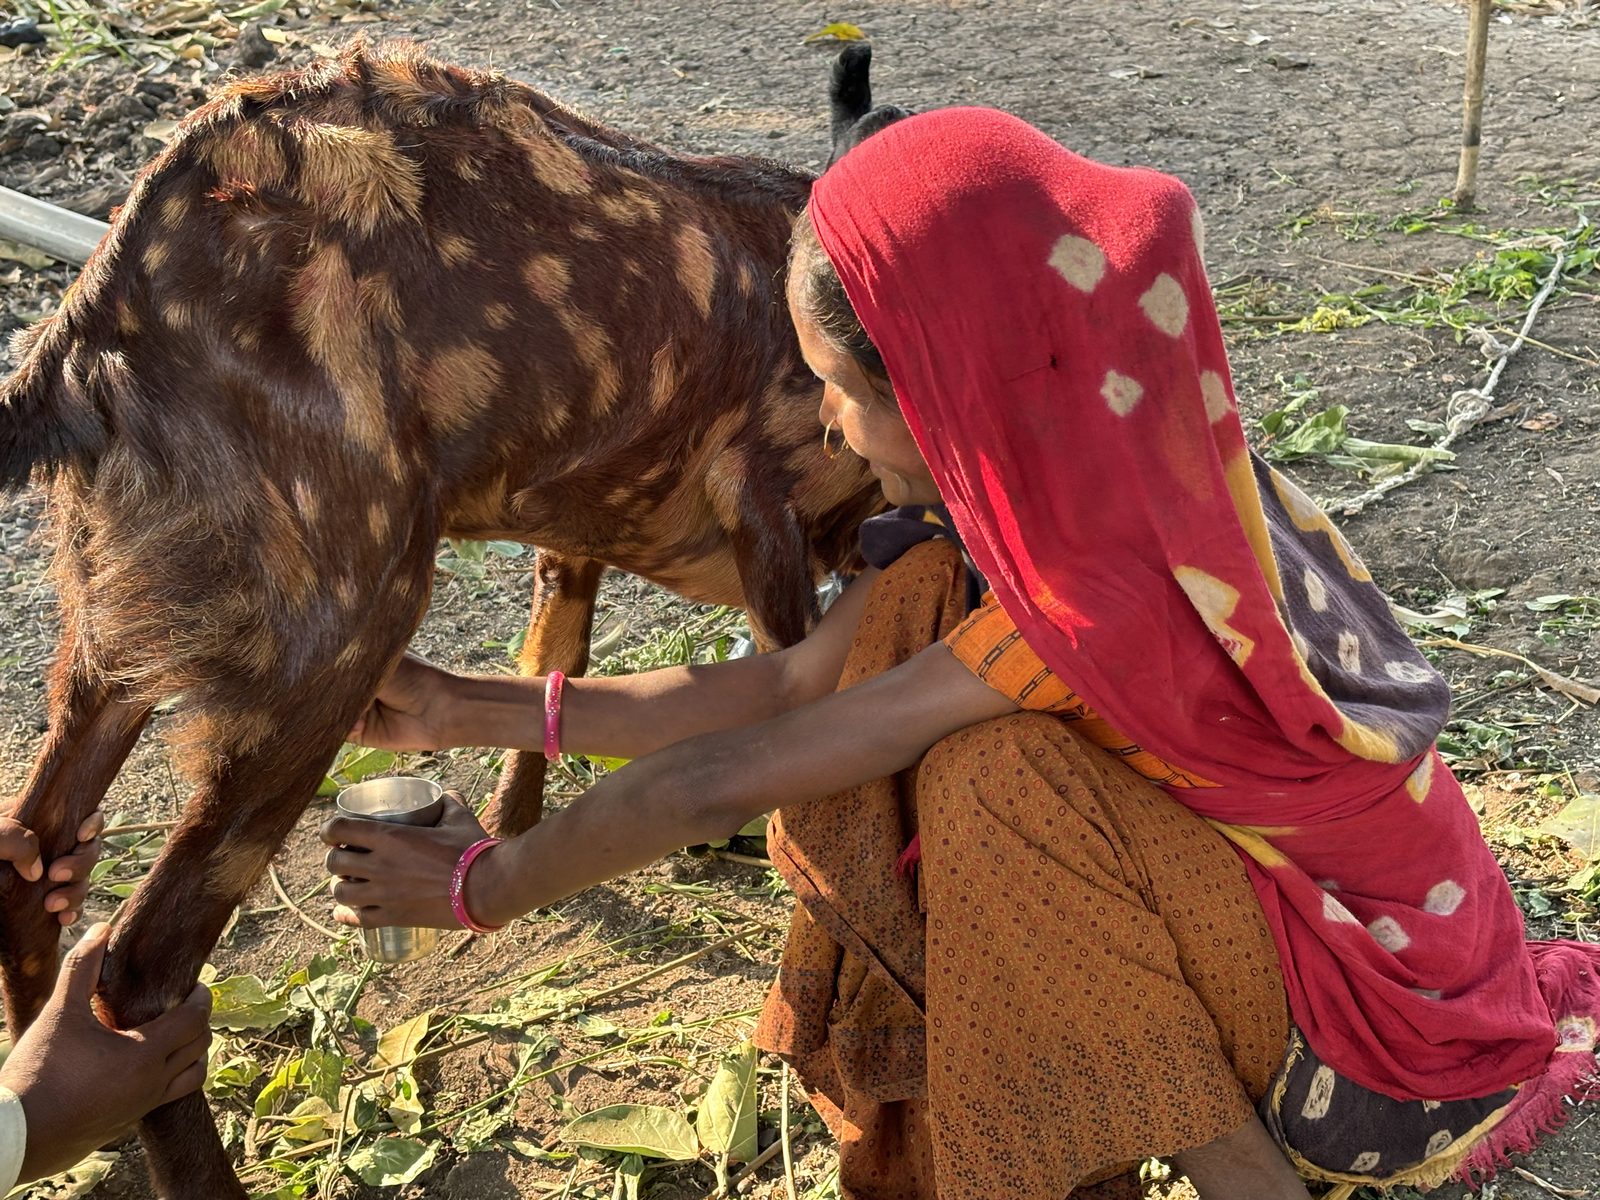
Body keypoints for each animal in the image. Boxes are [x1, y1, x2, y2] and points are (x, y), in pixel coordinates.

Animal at [0, 41, 891, 1197]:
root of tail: (91, 326)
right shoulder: (764, 496)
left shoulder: (582, 518)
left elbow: (557, 652)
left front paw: (511, 830)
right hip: (331, 624)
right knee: (143, 967)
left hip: (115, 624)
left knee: (32, 856)